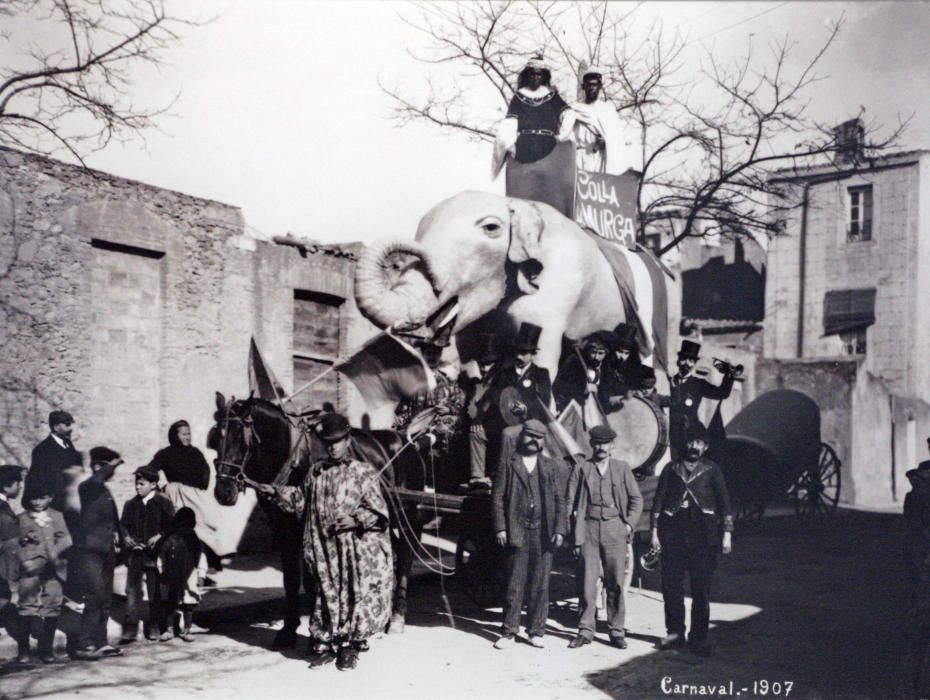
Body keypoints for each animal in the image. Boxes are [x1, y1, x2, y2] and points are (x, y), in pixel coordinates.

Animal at [208, 392, 430, 648]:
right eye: (216, 437)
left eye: (240, 438)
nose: (223, 491)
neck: (292, 456)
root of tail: (407, 440)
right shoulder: (283, 527)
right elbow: (291, 578)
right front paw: (288, 629)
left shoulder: (305, 524)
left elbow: (312, 579)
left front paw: (318, 631)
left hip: (407, 514)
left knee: (405, 557)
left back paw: (396, 617)